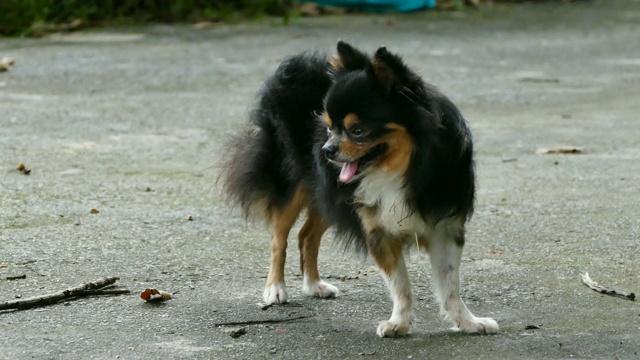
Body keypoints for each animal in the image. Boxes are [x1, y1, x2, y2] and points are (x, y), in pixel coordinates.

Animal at [225, 40, 500, 336]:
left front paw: (468, 322)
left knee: (306, 235)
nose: (326, 150)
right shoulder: (377, 229)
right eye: (329, 128)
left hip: (330, 195)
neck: (401, 170)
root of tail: (298, 68)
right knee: (279, 238)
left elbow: (450, 287)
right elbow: (400, 285)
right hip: (294, 187)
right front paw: (399, 323)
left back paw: (313, 285)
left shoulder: (445, 228)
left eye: (357, 131)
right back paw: (275, 288)